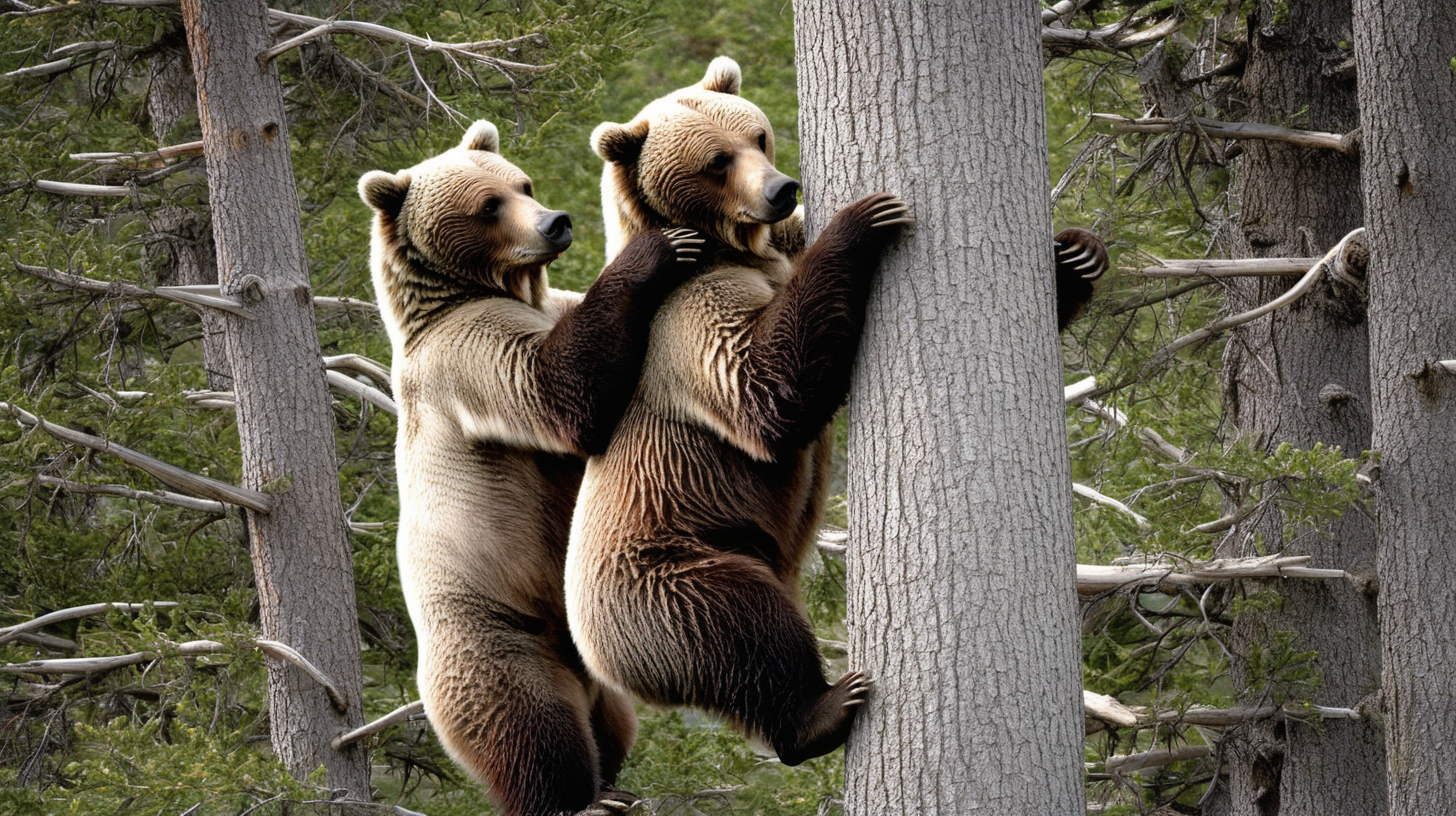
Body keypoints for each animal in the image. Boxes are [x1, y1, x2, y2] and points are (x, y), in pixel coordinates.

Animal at [364, 120, 704, 816]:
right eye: (488, 205)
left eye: (521, 184)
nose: (555, 222)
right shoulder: (465, 355)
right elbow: (559, 394)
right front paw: (660, 246)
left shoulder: (554, 307)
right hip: (495, 629)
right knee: (530, 727)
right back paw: (575, 794)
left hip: (582, 662)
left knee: (613, 721)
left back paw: (616, 784)